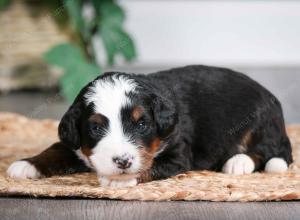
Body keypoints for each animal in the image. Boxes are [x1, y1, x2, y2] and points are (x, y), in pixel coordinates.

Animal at [7, 65, 292, 187]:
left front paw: (120, 179)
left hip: (260, 122)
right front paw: (26, 165)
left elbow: (149, 165)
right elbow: (56, 148)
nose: (122, 161)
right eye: (96, 128)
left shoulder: (178, 154)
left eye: (142, 123)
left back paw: (238, 161)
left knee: (268, 151)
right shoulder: (75, 142)